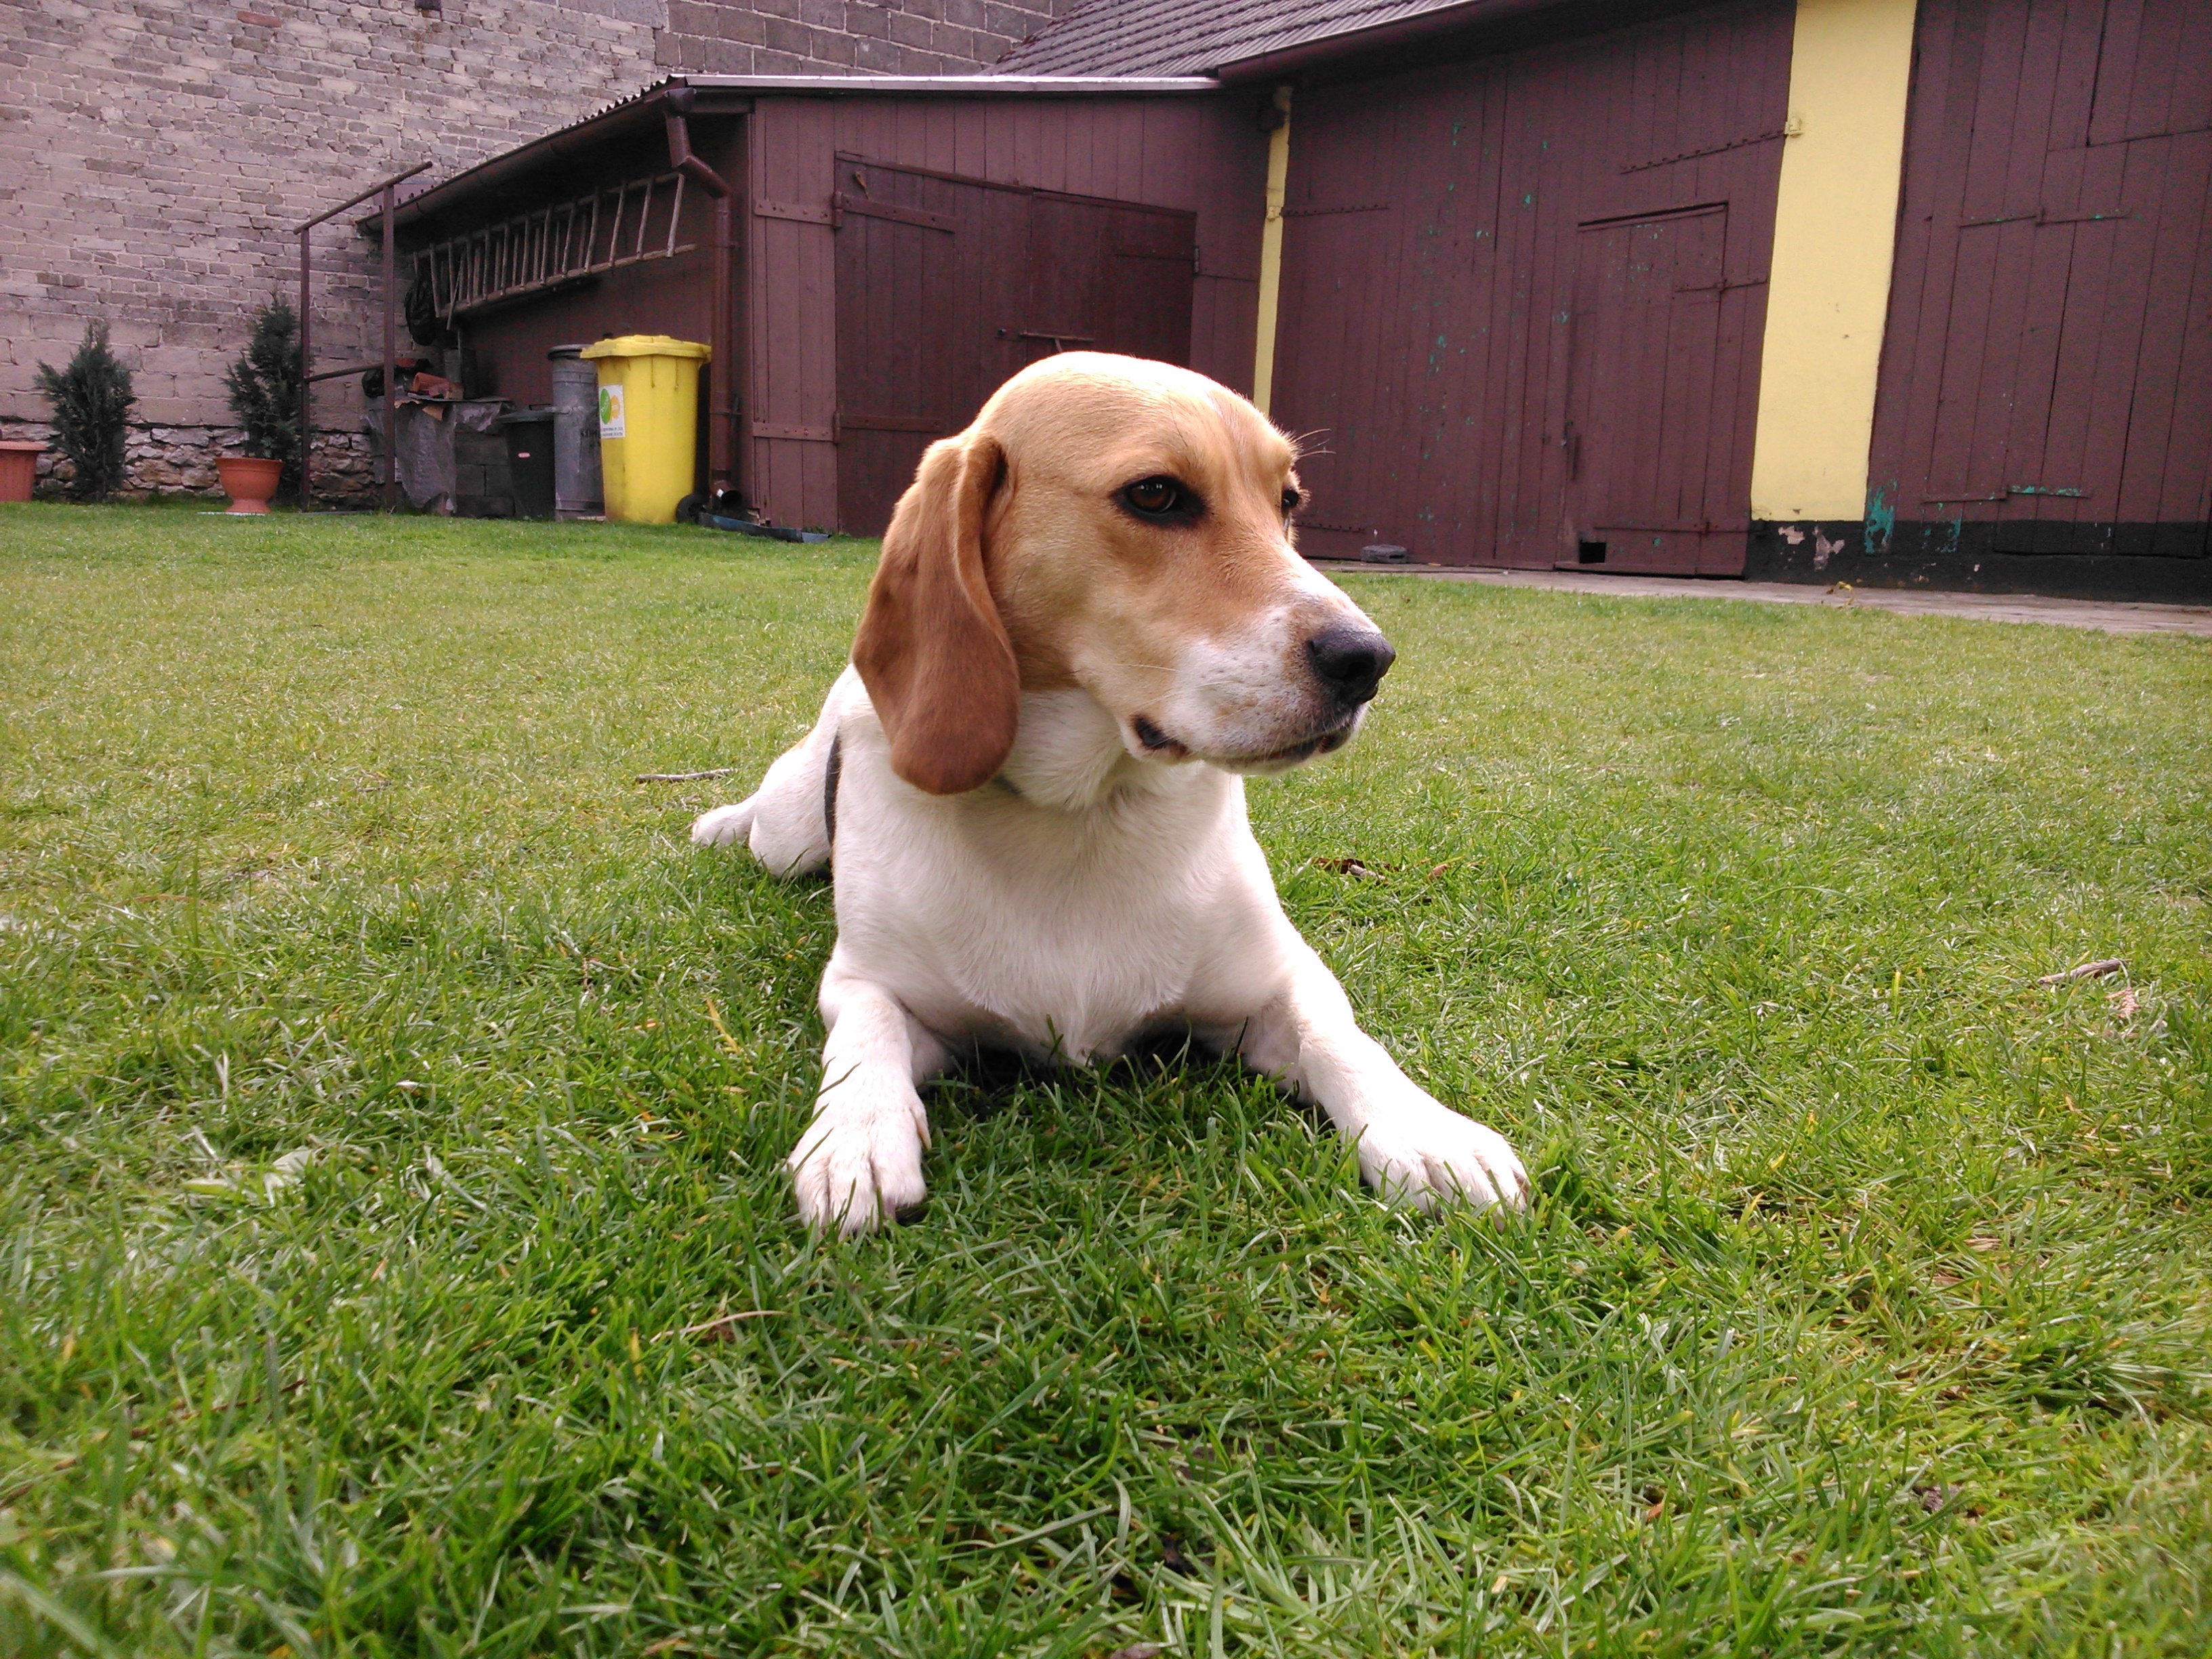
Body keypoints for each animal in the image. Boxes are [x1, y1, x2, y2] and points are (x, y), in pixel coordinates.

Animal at [693, 353, 1529, 1234]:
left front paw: (1425, 1131)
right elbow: (863, 1038)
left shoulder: (1276, 982)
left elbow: (1341, 1036)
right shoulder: (869, 983)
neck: (1081, 814)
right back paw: (723, 822)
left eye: (1289, 502)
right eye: (1156, 495)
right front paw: (855, 1134)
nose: (1368, 659)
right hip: (789, 838)